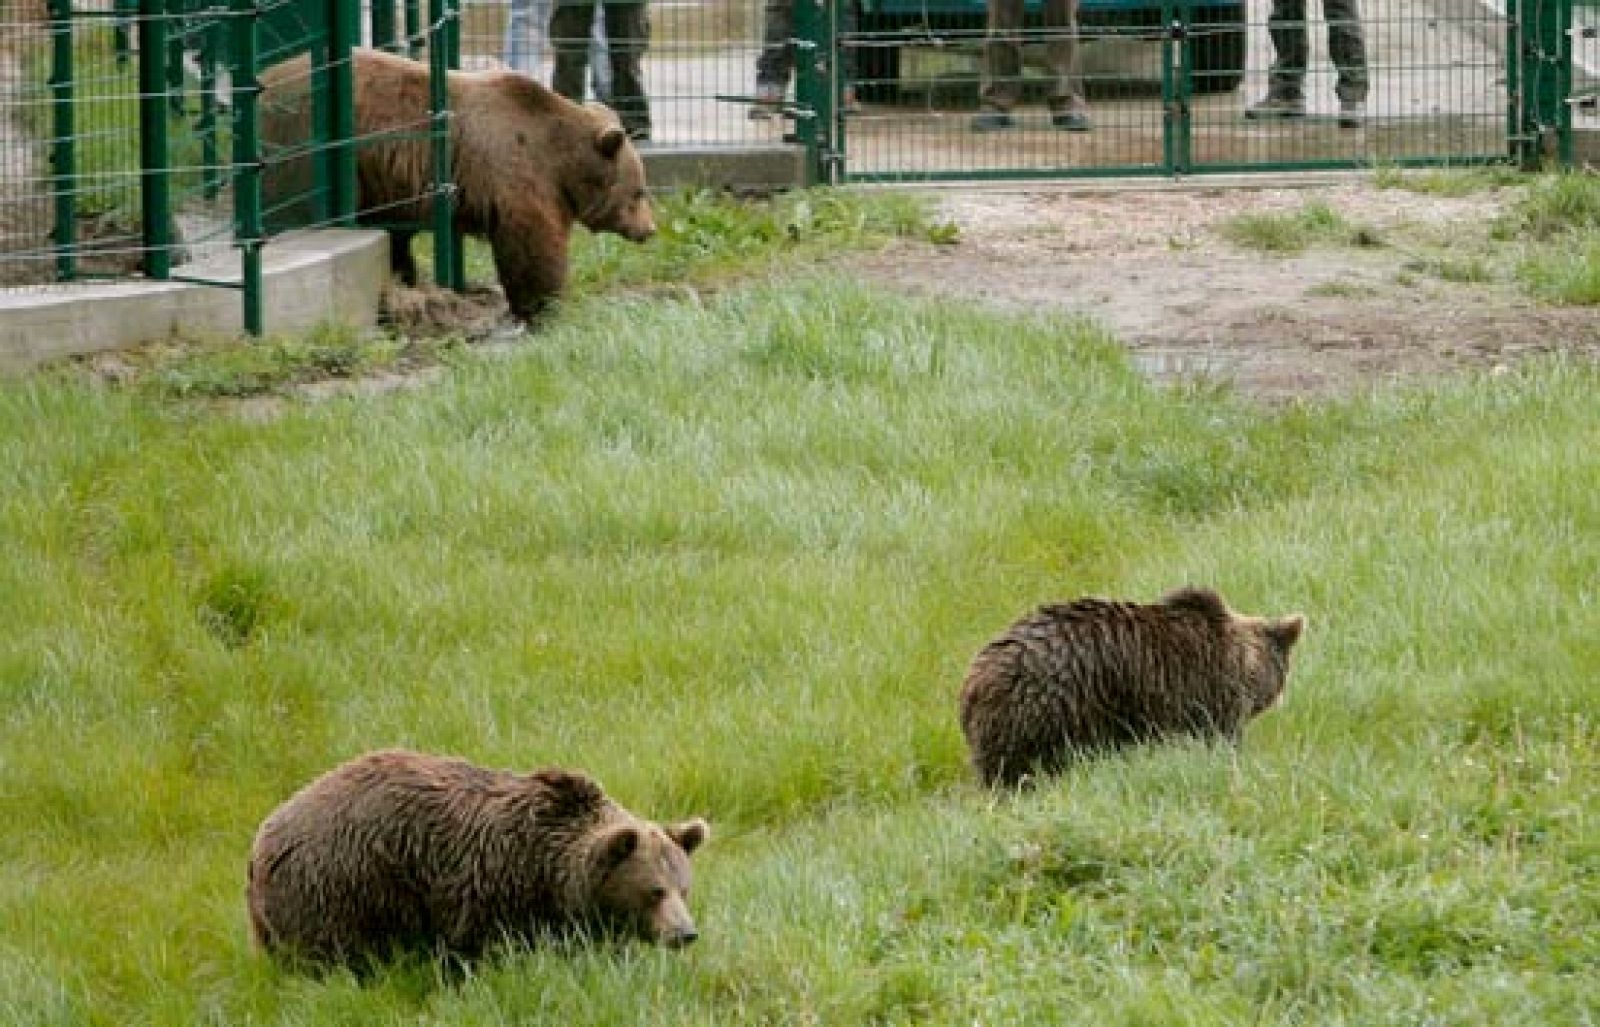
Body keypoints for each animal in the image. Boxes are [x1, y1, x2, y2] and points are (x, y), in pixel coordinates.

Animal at [244, 748, 707, 966]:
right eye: (654, 891)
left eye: (684, 889)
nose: (685, 934)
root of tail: (260, 841)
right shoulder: (492, 887)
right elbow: (482, 948)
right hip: (339, 885)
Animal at [257, 46, 656, 319]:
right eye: (639, 192)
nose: (650, 230)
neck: (560, 163)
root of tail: (266, 82)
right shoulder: (515, 173)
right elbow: (533, 244)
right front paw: (545, 305)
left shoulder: (394, 186)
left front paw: (408, 276)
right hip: (303, 145)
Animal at [953, 582, 1305, 783]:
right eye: (1283, 673)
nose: (1282, 697)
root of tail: (974, 682)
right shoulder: (1204, 699)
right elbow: (1218, 741)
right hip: (1047, 710)